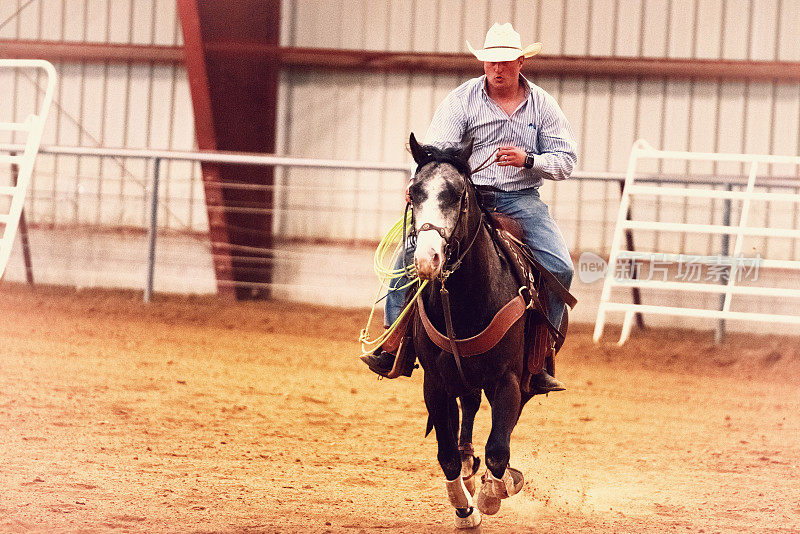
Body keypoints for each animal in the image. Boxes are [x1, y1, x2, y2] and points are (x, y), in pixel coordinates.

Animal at [406, 133, 544, 528]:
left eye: (455, 194)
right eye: (414, 192)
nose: (428, 260)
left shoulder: (509, 378)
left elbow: (498, 448)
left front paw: (492, 494)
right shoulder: (435, 383)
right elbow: (446, 455)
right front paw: (465, 510)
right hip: (460, 376)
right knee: (467, 409)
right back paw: (469, 463)